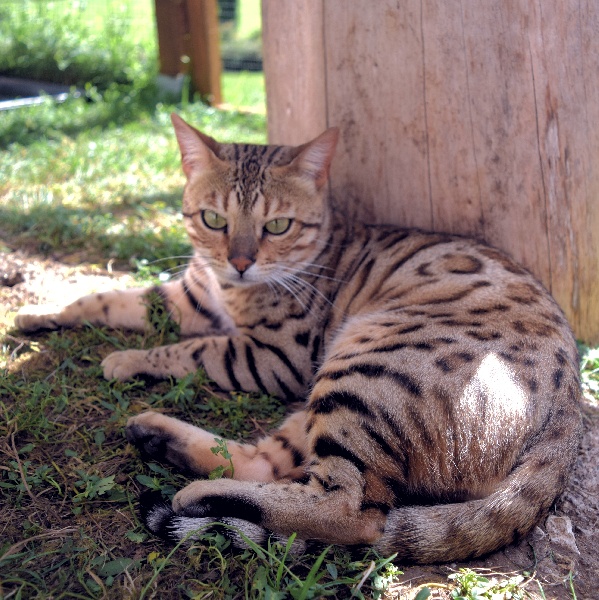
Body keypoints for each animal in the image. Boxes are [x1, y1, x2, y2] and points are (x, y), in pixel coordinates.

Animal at [16, 115, 584, 564]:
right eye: (213, 219)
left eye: (278, 226)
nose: (240, 261)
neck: (227, 290)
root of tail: (569, 414)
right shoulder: (190, 296)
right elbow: (105, 299)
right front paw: (38, 314)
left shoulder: (272, 355)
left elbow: (188, 349)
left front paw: (125, 358)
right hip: (335, 390)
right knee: (271, 463)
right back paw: (159, 438)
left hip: (362, 369)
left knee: (351, 509)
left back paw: (196, 493)